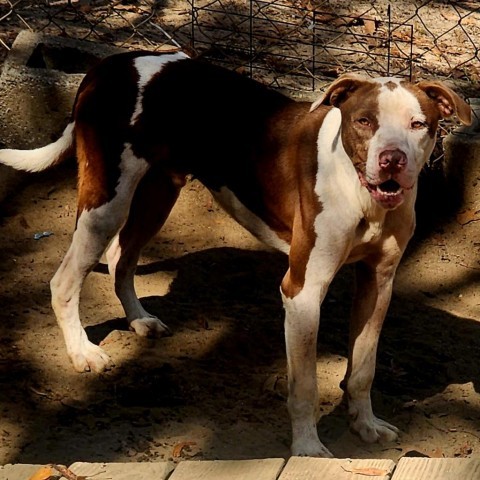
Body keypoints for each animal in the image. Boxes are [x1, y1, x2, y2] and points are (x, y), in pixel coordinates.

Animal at [0, 51, 472, 458]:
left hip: (159, 192)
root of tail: (110, 63)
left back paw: (139, 320)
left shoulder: (378, 284)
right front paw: (307, 449)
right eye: (364, 121)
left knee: (121, 257)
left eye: (418, 124)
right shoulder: (302, 291)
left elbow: (363, 368)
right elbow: (304, 385)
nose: (392, 160)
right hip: (107, 201)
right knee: (65, 279)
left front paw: (365, 426)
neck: (362, 196)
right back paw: (82, 352)